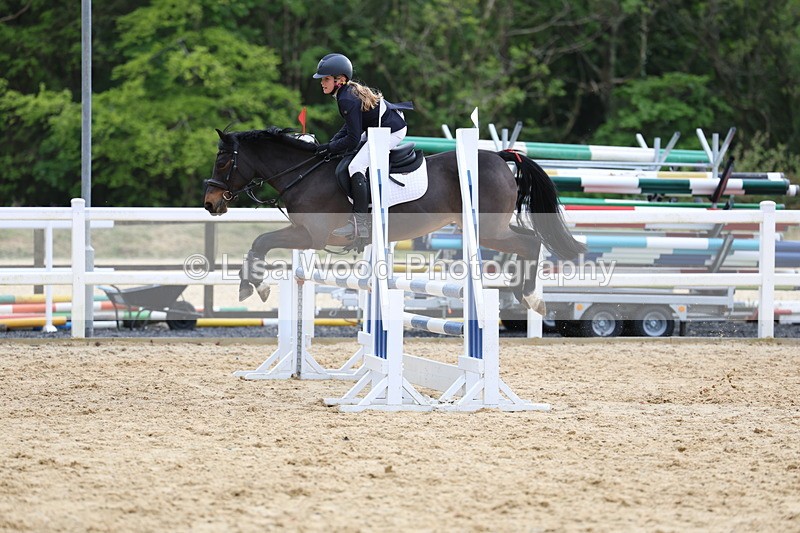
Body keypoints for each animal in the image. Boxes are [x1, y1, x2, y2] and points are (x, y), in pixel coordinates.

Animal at [203, 126, 586, 312]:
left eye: (222, 161)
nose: (210, 203)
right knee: (529, 241)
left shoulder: (311, 236)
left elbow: (261, 241)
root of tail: (499, 156)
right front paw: (251, 283)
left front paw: (254, 286)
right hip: (489, 227)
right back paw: (525, 293)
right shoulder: (302, 231)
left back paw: (530, 297)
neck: (304, 172)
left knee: (530, 242)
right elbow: (259, 244)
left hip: (488, 229)